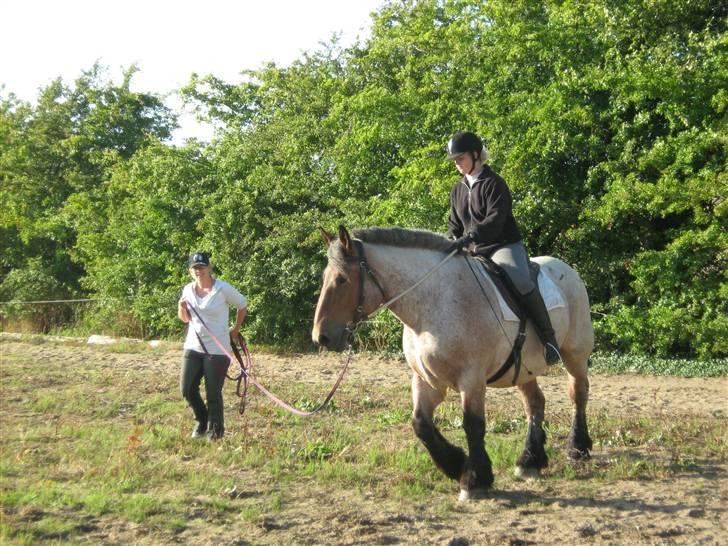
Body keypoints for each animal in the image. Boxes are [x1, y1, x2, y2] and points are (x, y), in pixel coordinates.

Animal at [310, 224, 596, 498]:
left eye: (342, 279)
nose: (321, 337)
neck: (434, 304)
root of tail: (565, 267)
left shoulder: (471, 379)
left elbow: (473, 424)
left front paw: (475, 479)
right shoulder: (427, 380)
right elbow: (421, 424)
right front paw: (457, 464)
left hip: (575, 355)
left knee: (578, 394)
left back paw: (577, 447)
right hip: (524, 369)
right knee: (535, 403)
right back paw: (530, 460)